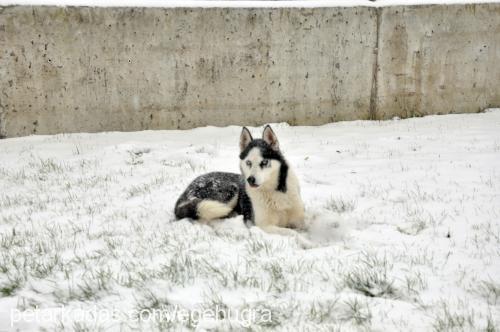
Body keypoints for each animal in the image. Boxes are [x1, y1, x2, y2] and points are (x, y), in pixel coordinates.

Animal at [174, 126, 306, 239]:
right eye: (248, 162)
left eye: (264, 162)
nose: (250, 179)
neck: (275, 191)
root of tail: (188, 188)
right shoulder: (264, 226)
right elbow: (292, 233)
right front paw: (306, 242)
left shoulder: (299, 219)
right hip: (229, 191)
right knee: (202, 218)